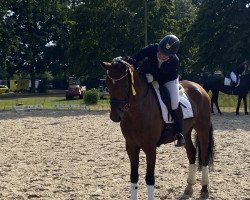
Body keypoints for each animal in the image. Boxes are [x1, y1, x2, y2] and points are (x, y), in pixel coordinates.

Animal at [100, 58, 214, 200]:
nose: (115, 116)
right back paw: (189, 187)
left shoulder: (150, 148)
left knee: (203, 156)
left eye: (124, 85)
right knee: (192, 153)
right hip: (186, 132)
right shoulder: (131, 146)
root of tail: (199, 88)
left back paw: (204, 189)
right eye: (108, 84)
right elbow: (133, 176)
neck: (137, 110)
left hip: (202, 129)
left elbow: (149, 178)